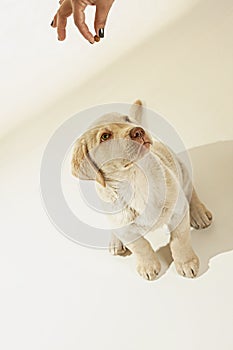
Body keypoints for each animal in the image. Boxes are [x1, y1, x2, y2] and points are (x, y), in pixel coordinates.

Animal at [72, 100, 212, 280]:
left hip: (182, 171)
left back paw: (198, 212)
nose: (138, 131)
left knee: (190, 191)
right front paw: (148, 265)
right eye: (105, 136)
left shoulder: (178, 212)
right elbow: (141, 246)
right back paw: (115, 240)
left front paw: (186, 262)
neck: (135, 179)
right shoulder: (127, 231)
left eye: (128, 120)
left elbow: (180, 240)